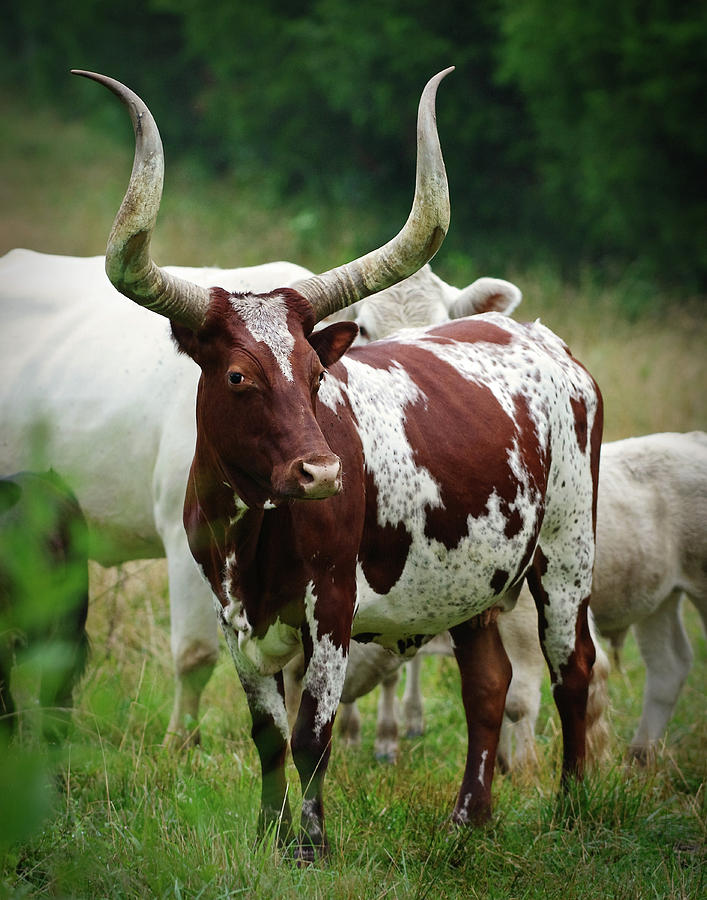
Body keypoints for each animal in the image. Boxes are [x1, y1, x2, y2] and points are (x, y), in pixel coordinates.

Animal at [77, 68, 604, 856]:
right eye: (238, 375)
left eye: (316, 371)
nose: (321, 474)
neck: (255, 530)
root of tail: (542, 338)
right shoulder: (234, 614)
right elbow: (268, 736)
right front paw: (267, 840)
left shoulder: (330, 606)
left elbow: (311, 735)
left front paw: (310, 849)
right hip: (474, 575)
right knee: (488, 681)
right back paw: (467, 820)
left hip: (567, 551)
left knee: (572, 669)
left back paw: (570, 809)